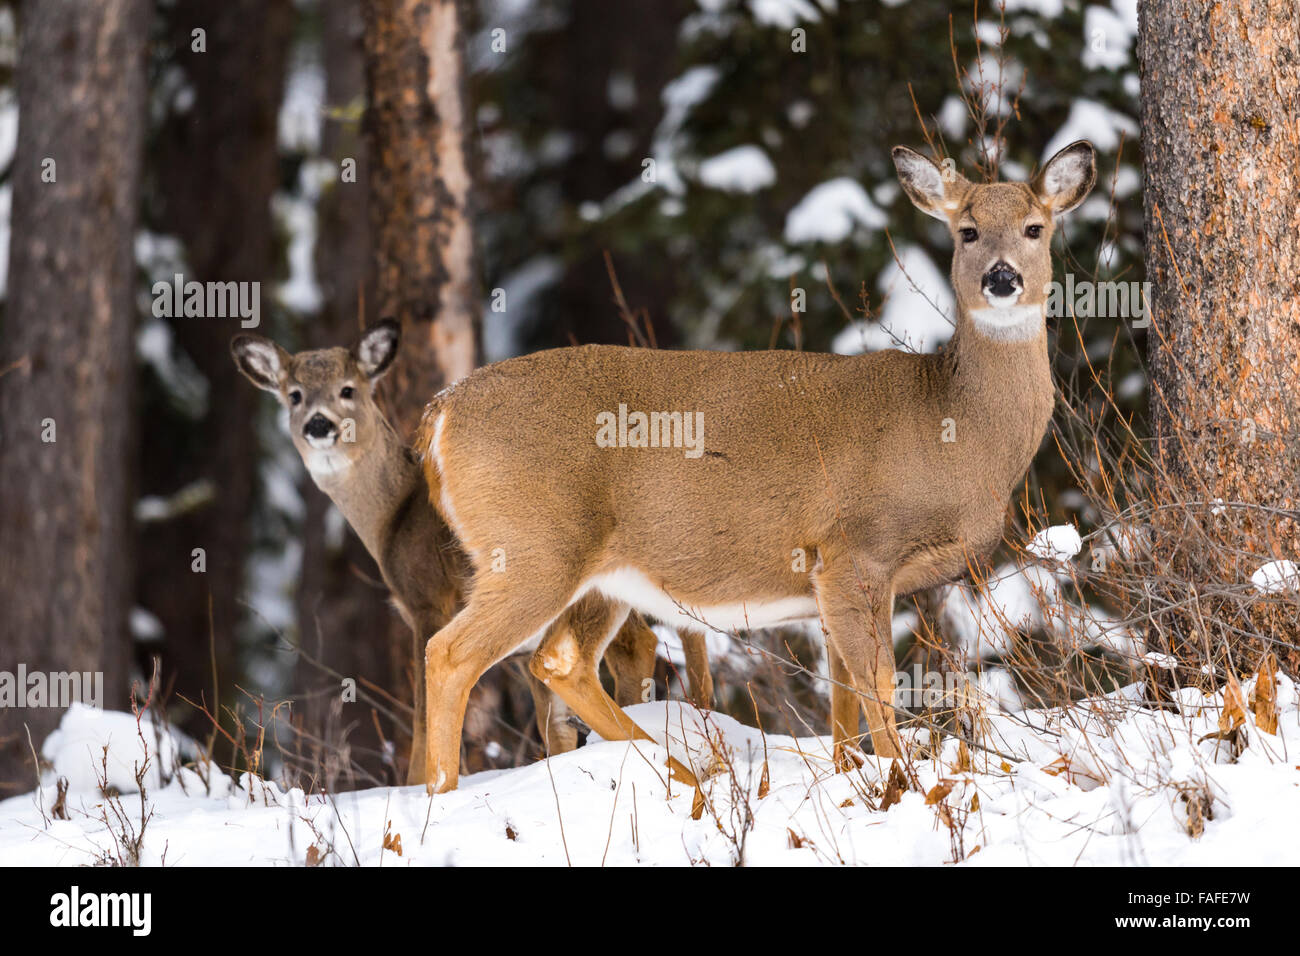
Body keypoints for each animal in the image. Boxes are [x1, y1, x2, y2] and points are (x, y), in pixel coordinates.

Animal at [227, 325, 707, 780]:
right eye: (294, 395)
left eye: (348, 389)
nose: (319, 424)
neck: (393, 518)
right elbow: (555, 729)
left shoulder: (428, 602)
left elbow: (423, 720)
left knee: (637, 645)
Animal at [418, 141, 1097, 796]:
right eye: (967, 231)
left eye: (1035, 228)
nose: (1002, 277)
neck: (954, 429)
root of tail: (439, 413)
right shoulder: (856, 551)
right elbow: (877, 684)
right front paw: (904, 783)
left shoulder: (829, 580)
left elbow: (843, 702)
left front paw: (855, 779)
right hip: (531, 547)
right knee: (451, 652)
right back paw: (442, 797)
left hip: (595, 573)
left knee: (559, 660)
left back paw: (679, 775)